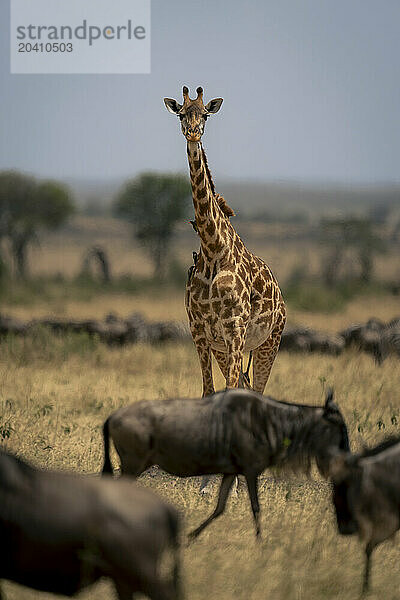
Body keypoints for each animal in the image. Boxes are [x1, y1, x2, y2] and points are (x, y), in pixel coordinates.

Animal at [164, 85, 286, 398]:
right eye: (181, 114)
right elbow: (209, 390)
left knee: (256, 389)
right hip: (229, 346)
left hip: (270, 340)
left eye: (205, 114)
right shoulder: (199, 331)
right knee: (244, 385)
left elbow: (229, 388)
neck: (212, 249)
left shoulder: (234, 328)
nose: (193, 133)